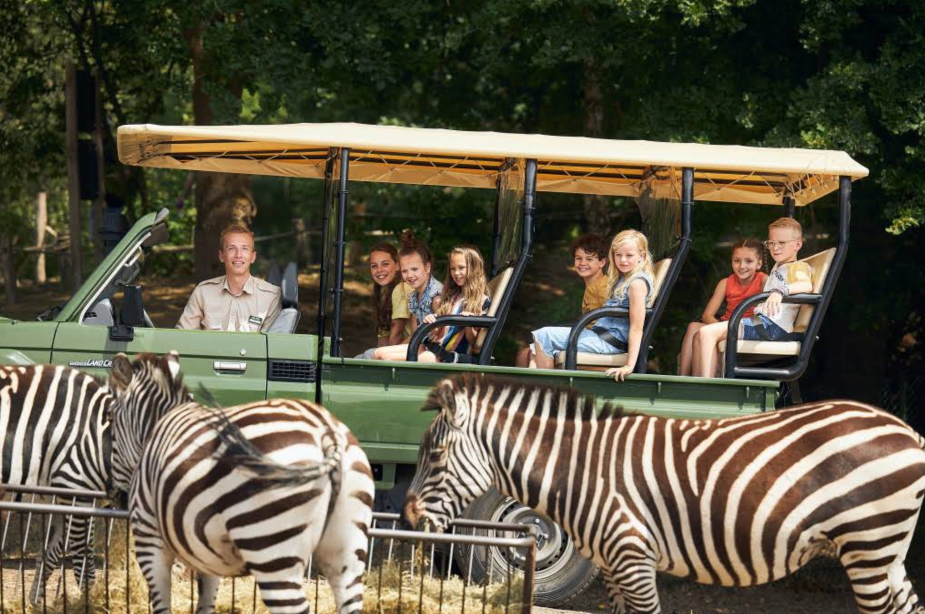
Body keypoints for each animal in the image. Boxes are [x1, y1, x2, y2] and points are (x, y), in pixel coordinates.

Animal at [0, 363, 116, 602]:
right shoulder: (75, 493)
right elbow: (84, 561)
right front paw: (88, 602)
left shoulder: (62, 500)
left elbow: (49, 555)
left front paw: (34, 603)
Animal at [107, 351, 374, 614]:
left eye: (110, 417)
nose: (116, 495)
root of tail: (326, 431)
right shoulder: (207, 553)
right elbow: (206, 603)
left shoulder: (149, 539)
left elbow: (163, 604)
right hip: (347, 550)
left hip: (270, 546)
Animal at [402, 374, 925, 614]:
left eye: (437, 454)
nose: (407, 515)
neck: (583, 470)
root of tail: (907, 430)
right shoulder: (613, 567)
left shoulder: (633, 558)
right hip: (885, 553)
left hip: (868, 547)